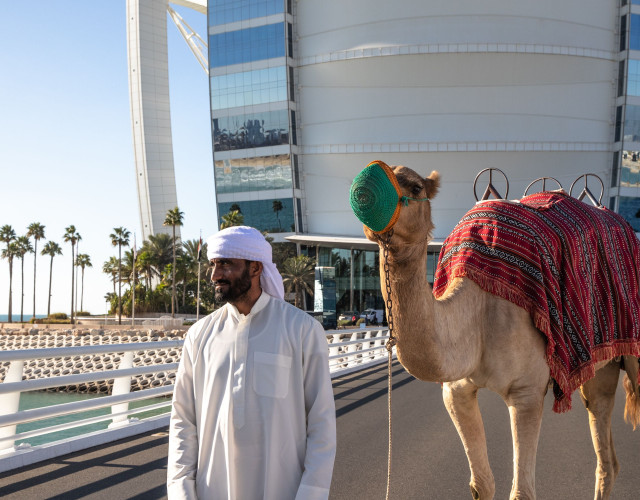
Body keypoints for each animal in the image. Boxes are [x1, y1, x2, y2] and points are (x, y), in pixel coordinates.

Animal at [358, 164, 640, 499]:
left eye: (415, 187)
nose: (364, 189)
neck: (478, 313)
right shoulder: (455, 390)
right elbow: (481, 484)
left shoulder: (527, 392)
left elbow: (522, 491)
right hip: (601, 367)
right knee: (607, 455)